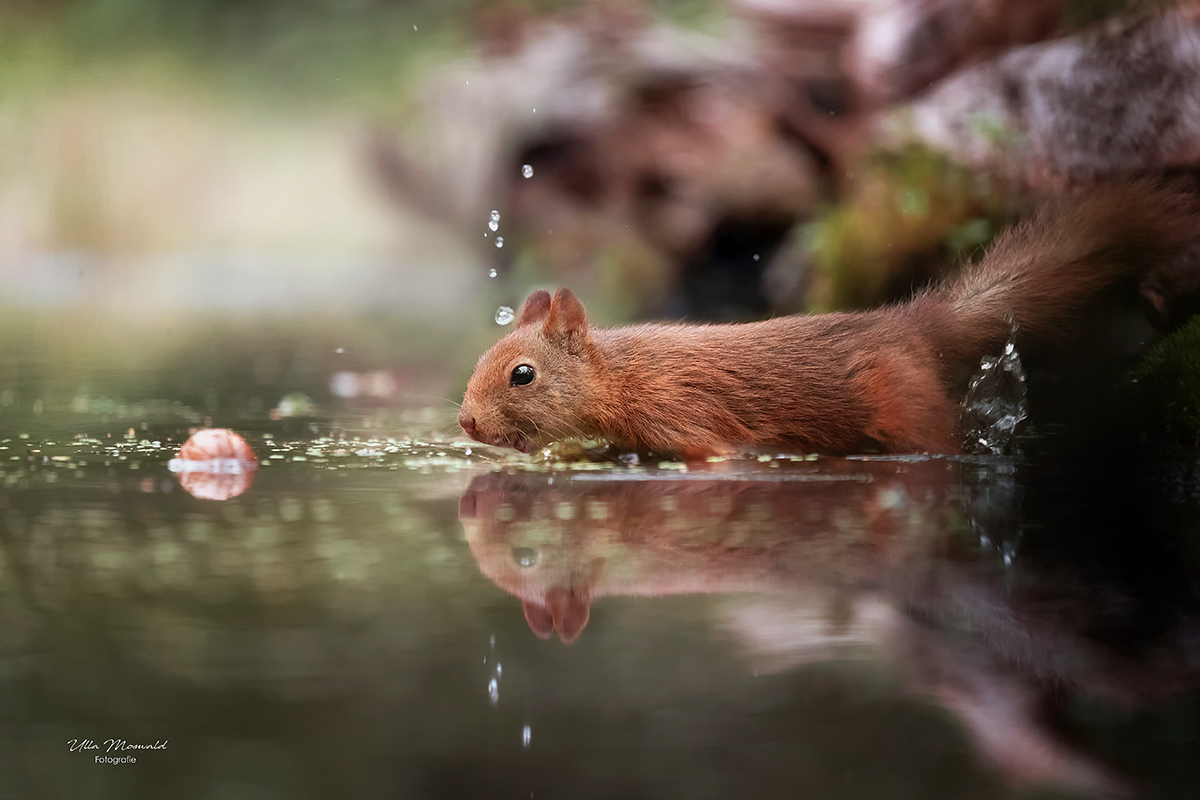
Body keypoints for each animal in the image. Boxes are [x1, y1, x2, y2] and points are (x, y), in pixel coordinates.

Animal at [456, 181, 1190, 455]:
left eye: (522, 375)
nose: (464, 422)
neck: (623, 375)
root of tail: (913, 324)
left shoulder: (685, 417)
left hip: (907, 408)